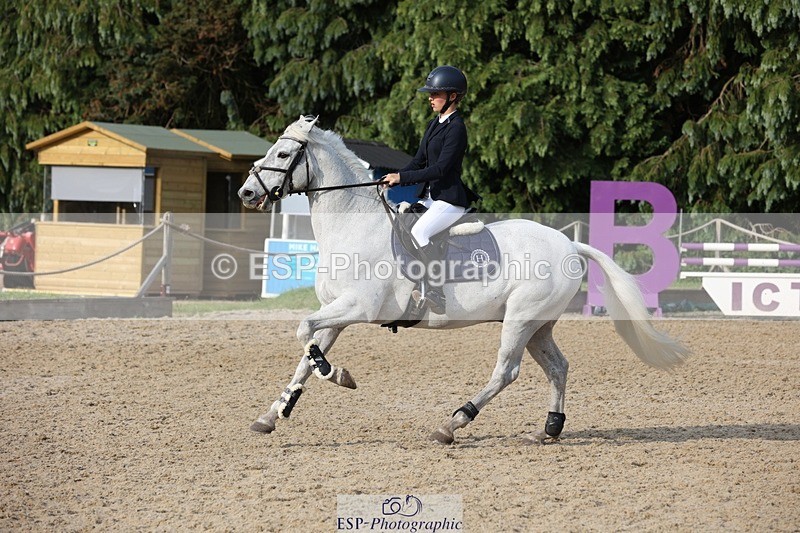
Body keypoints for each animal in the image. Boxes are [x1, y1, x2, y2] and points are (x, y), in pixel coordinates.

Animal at [238, 115, 689, 444]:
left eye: (282, 152)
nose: (245, 193)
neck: (354, 225)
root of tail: (568, 244)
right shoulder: (337, 313)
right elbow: (306, 353)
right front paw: (274, 413)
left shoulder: (357, 308)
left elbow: (304, 333)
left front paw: (339, 376)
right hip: (539, 325)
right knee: (557, 367)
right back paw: (550, 428)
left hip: (520, 320)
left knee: (507, 372)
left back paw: (453, 423)